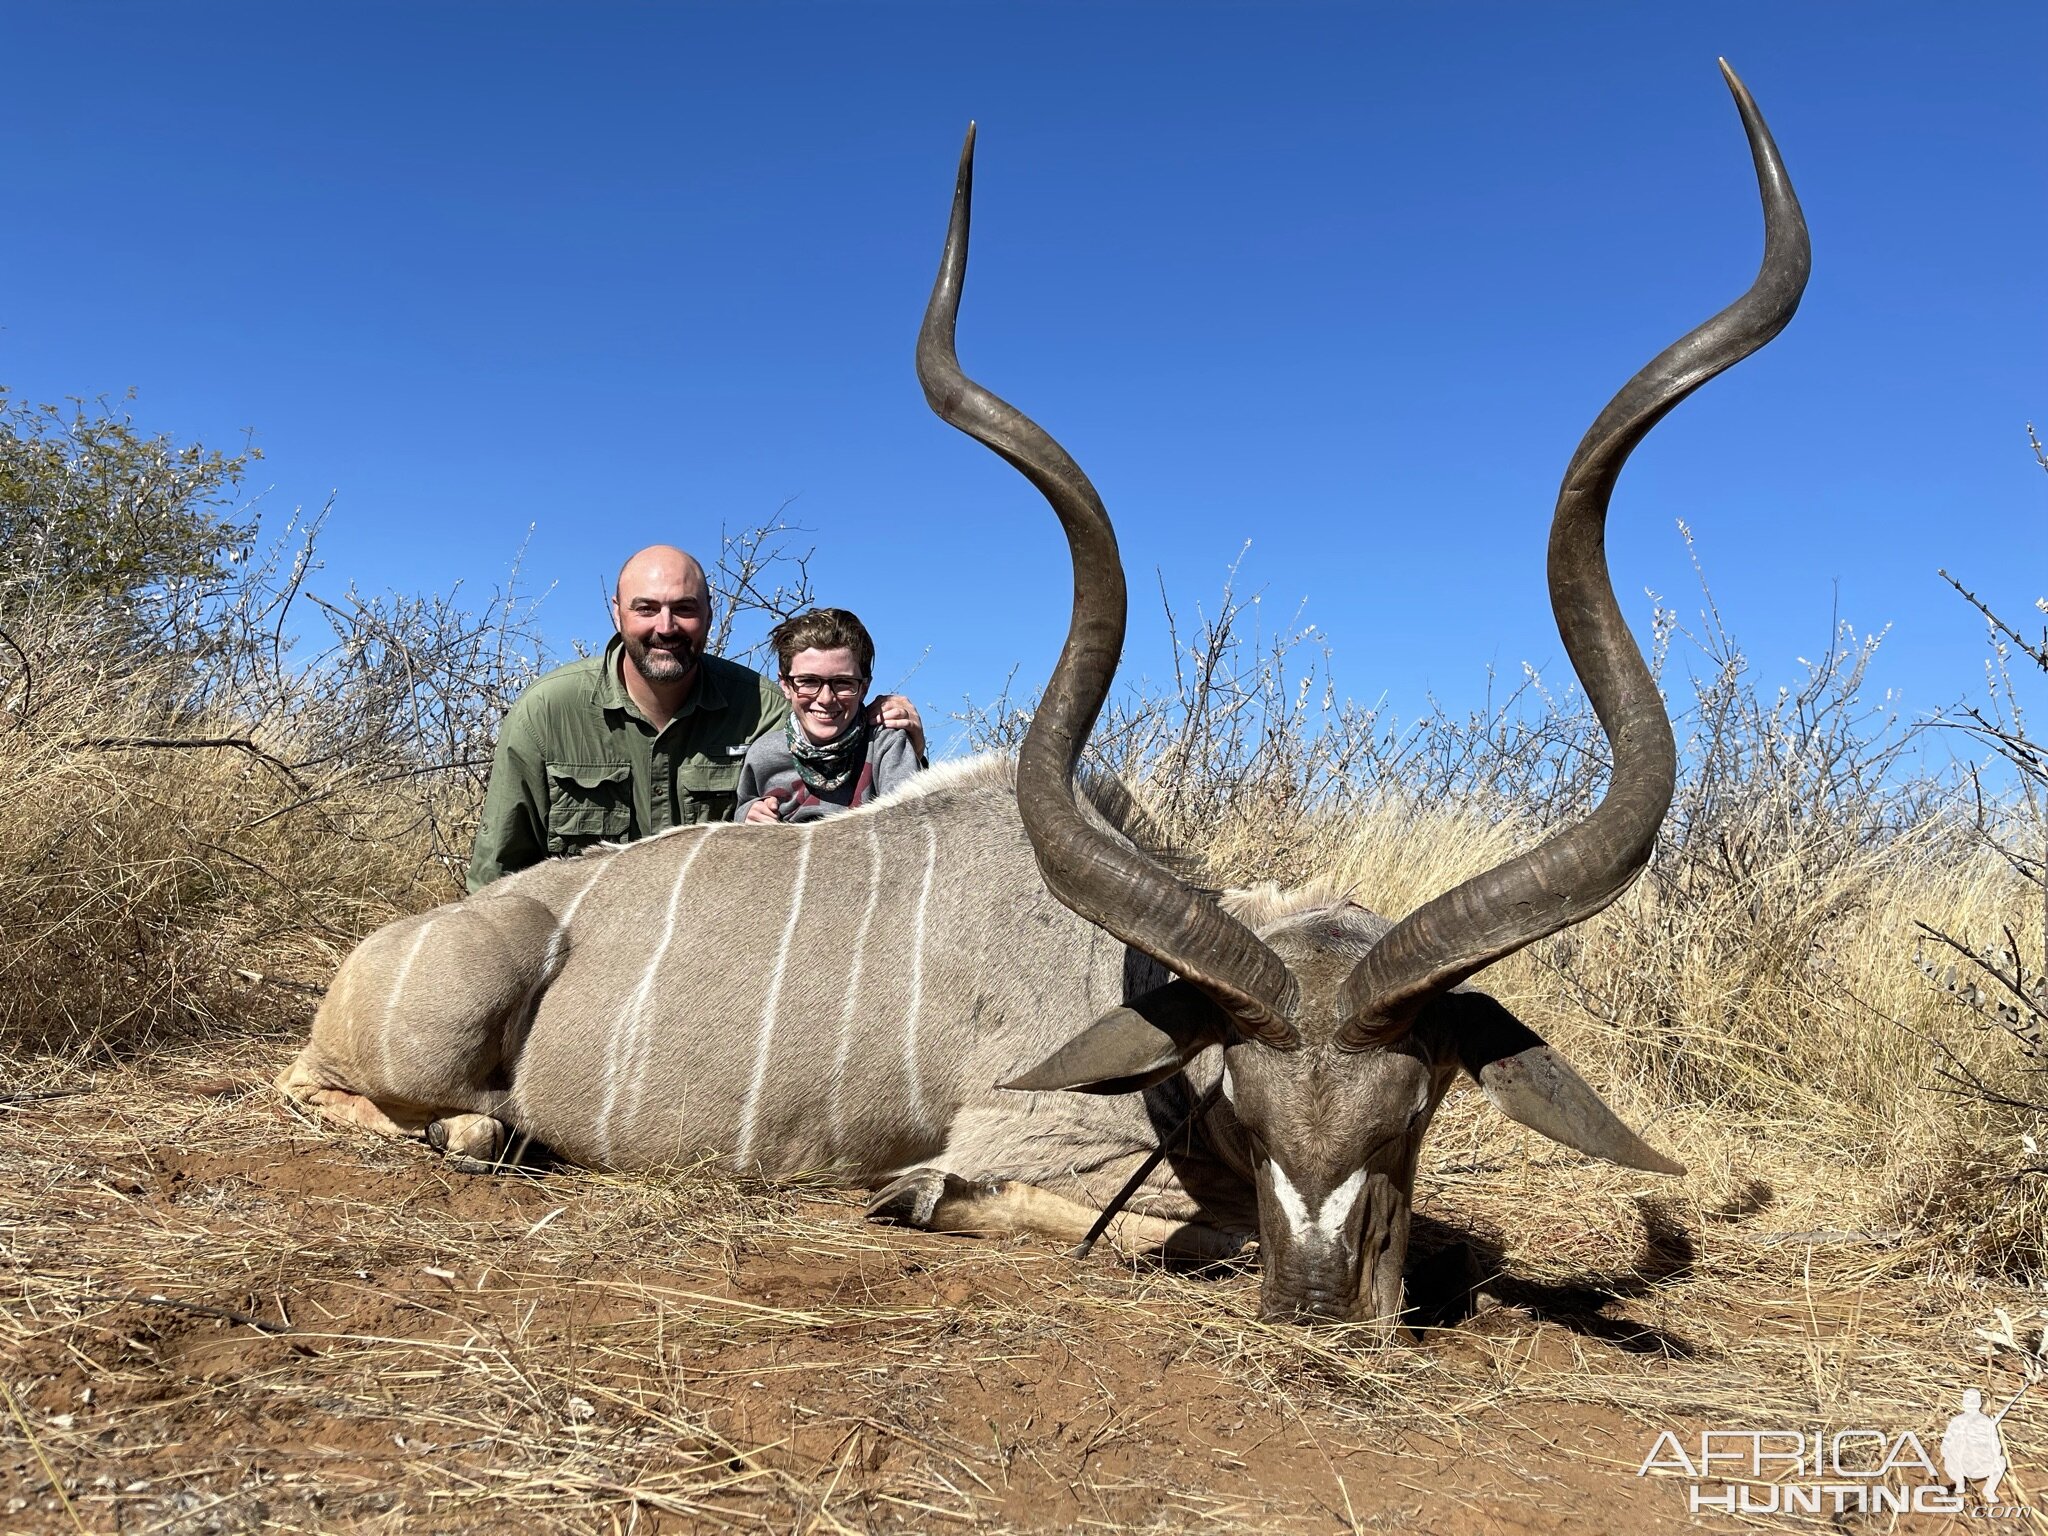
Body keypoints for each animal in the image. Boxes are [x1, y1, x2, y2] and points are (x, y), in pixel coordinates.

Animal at [276, 66, 1810, 1327]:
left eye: (1413, 1111)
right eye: (1256, 1113)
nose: (1323, 1302)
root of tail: (397, 944)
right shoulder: (1036, 1139)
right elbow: (1139, 1223)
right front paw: (922, 1197)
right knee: (341, 1093)